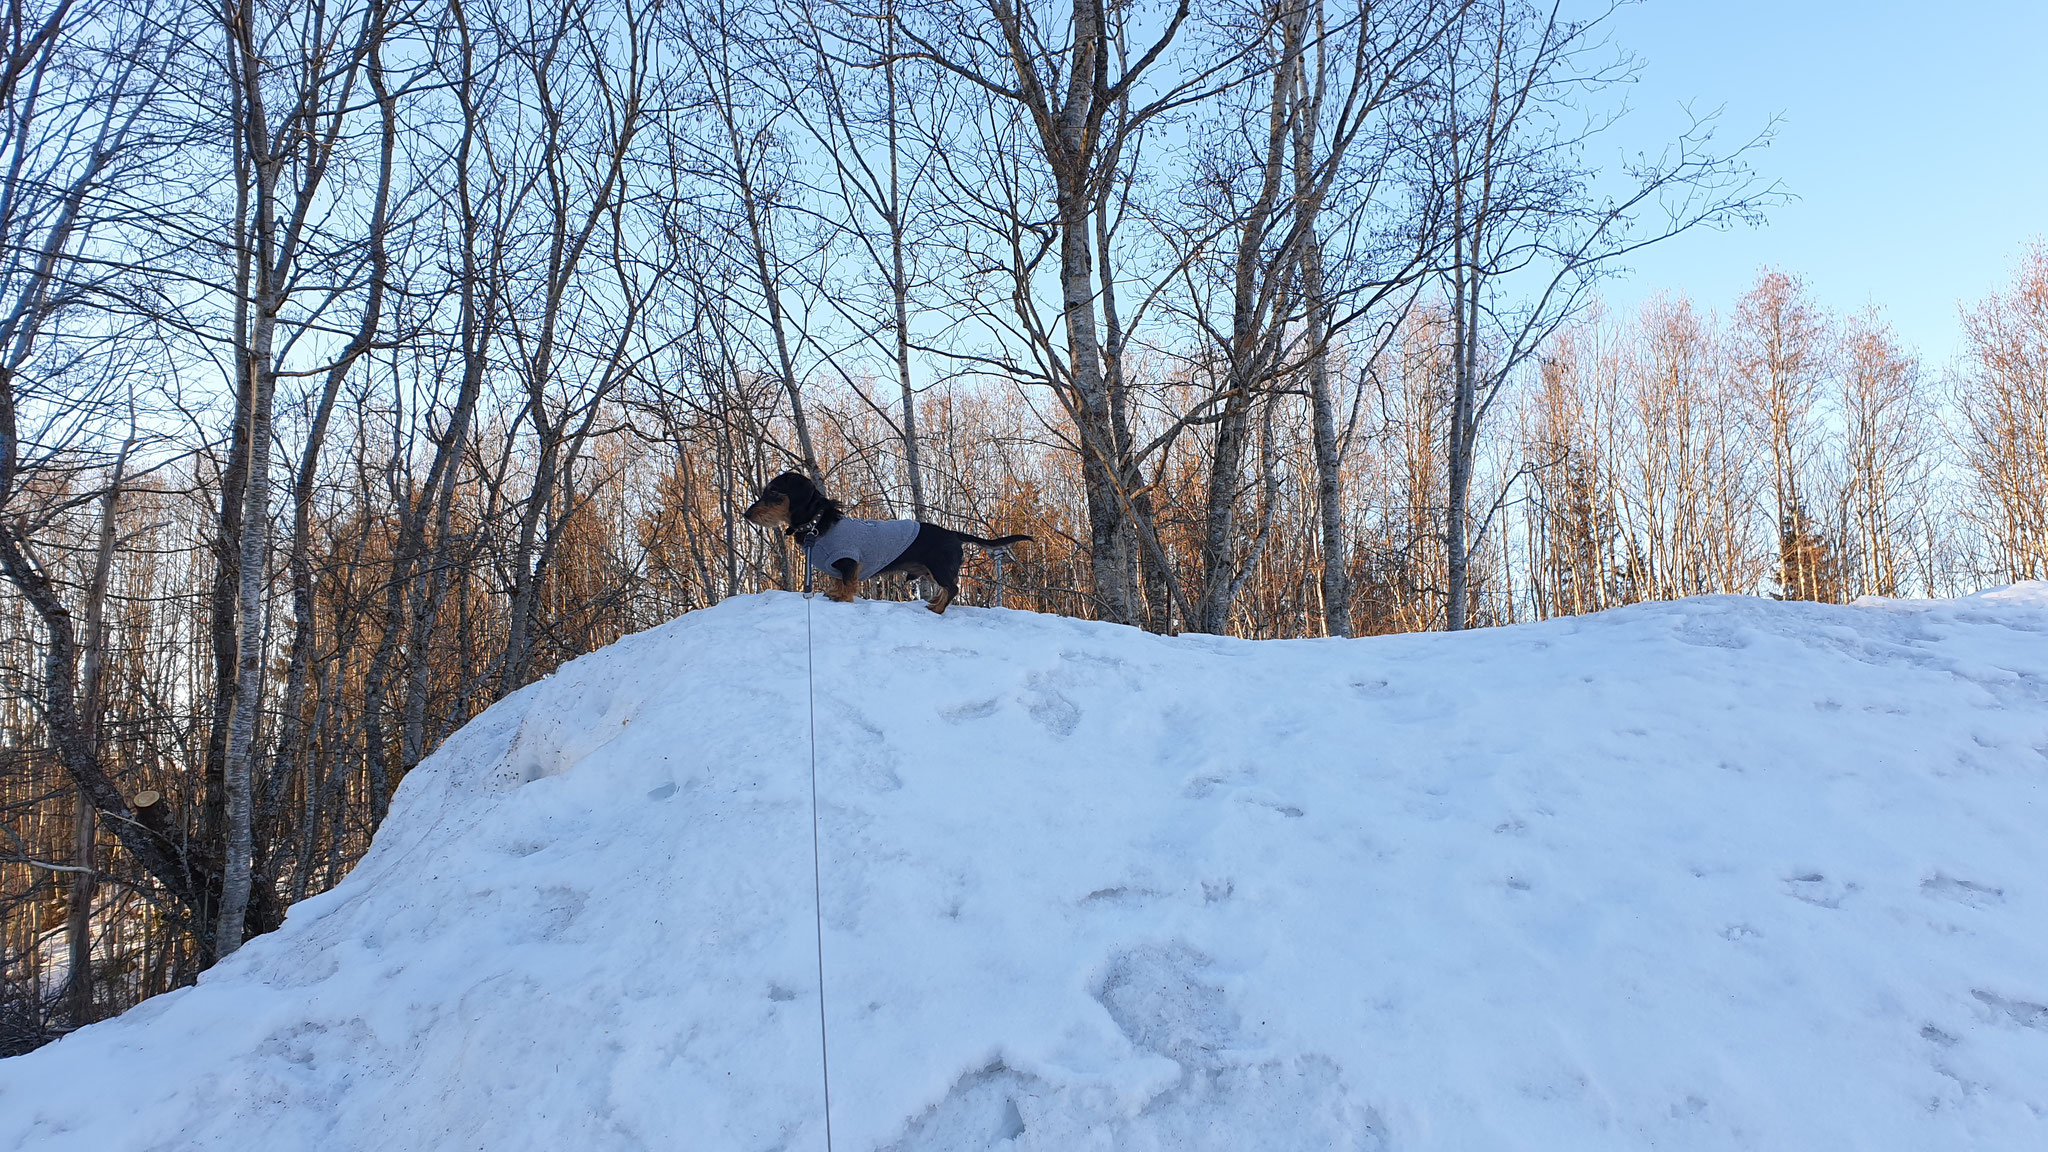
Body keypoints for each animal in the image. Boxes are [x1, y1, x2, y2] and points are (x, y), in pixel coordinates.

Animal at [745, 469, 1032, 610]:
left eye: (773, 492)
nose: (747, 514)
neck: (818, 523)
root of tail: (952, 533)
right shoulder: (837, 567)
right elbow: (837, 581)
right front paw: (833, 593)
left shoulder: (848, 561)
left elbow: (848, 584)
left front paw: (842, 599)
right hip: (932, 571)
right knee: (947, 589)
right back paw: (934, 603)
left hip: (939, 567)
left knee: (953, 589)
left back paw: (938, 610)